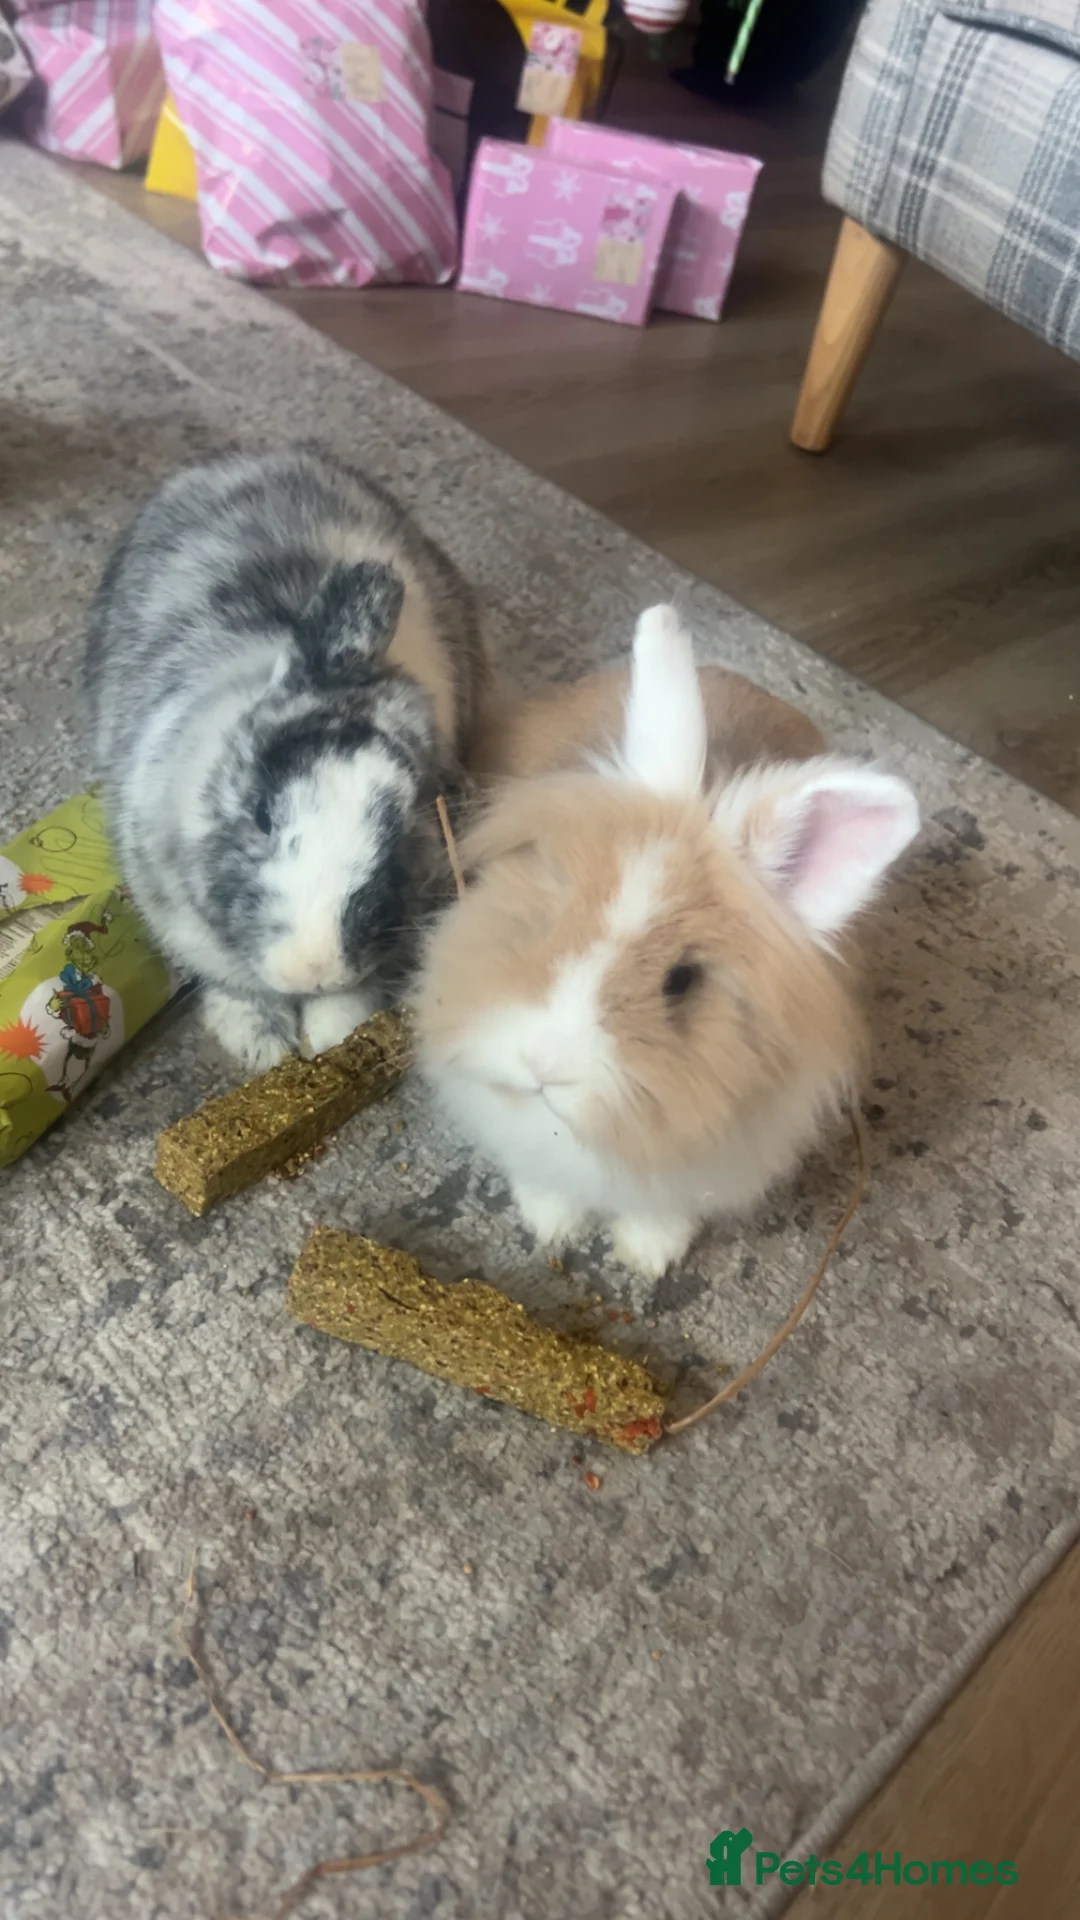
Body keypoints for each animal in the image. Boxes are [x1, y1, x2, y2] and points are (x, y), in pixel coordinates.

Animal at [85, 445, 488, 1072]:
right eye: (262, 816)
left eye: (402, 836)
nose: (313, 967)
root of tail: (255, 459)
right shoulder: (182, 921)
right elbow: (237, 986)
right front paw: (263, 1047)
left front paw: (330, 1036)